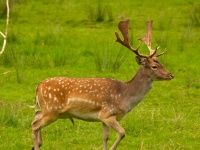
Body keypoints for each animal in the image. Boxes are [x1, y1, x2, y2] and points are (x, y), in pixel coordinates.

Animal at [30, 19, 173, 149]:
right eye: (154, 66)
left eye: (161, 63)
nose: (171, 75)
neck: (125, 97)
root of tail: (38, 86)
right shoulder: (107, 114)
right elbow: (122, 133)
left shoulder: (104, 119)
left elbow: (105, 137)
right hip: (52, 110)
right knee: (34, 125)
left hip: (49, 110)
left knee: (36, 114)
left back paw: (39, 142)